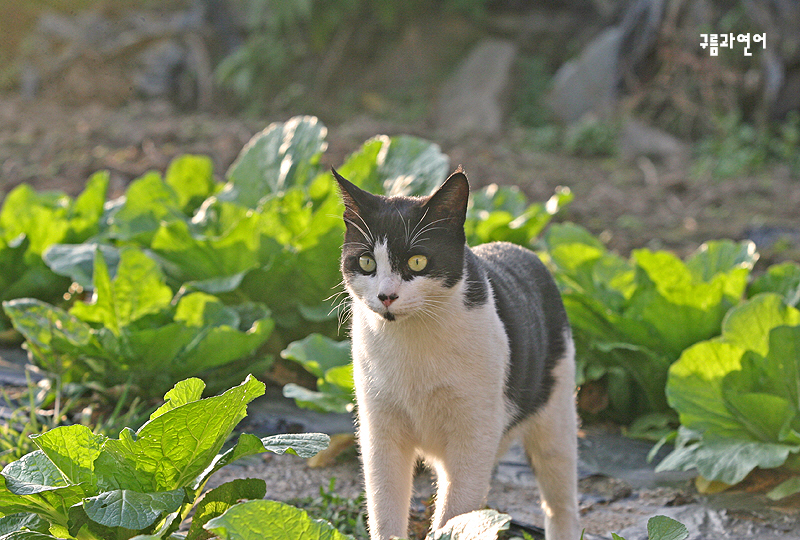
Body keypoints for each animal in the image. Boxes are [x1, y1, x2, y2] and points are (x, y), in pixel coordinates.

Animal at [332, 168, 580, 540]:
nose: (386, 296)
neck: (414, 340)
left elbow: (456, 513)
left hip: (556, 412)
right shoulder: (379, 429)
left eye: (417, 261)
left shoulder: (474, 433)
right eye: (366, 262)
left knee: (560, 496)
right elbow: (384, 507)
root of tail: (524, 250)